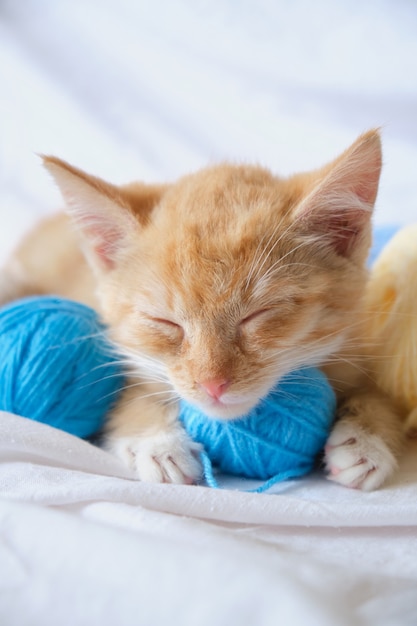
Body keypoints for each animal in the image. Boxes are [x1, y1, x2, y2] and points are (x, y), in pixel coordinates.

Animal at [0, 128, 404, 488]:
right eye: (165, 322)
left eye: (259, 314)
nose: (212, 385)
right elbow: (130, 399)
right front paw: (158, 442)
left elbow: (381, 396)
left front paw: (366, 440)